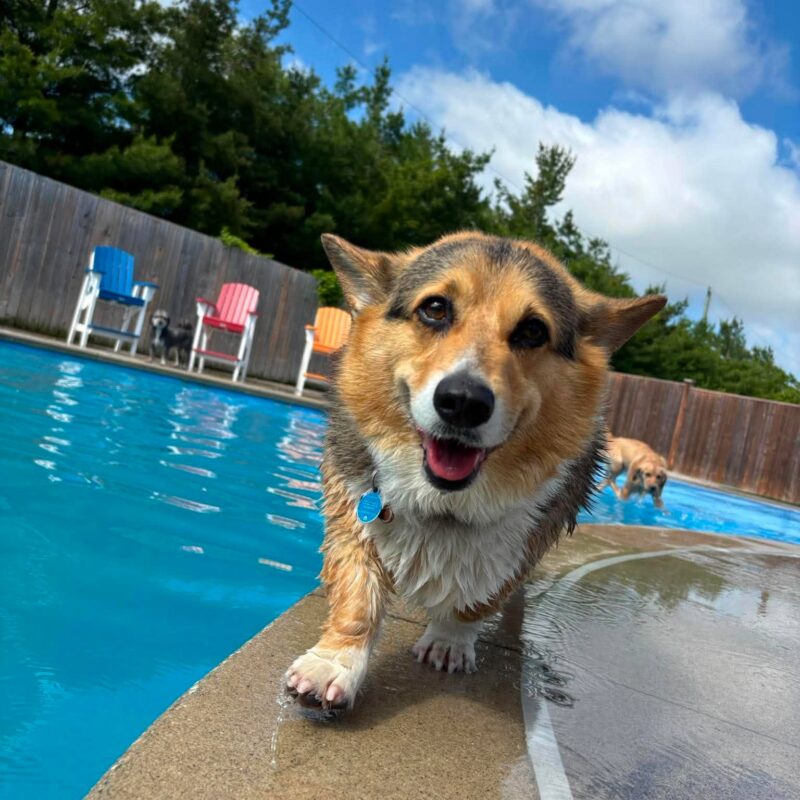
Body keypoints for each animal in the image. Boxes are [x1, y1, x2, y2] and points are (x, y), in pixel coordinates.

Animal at [286, 231, 666, 710]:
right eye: (435, 308)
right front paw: (333, 665)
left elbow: (478, 600)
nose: (463, 402)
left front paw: (449, 640)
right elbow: (357, 597)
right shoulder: (354, 510)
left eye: (532, 331)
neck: (444, 502)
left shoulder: (524, 545)